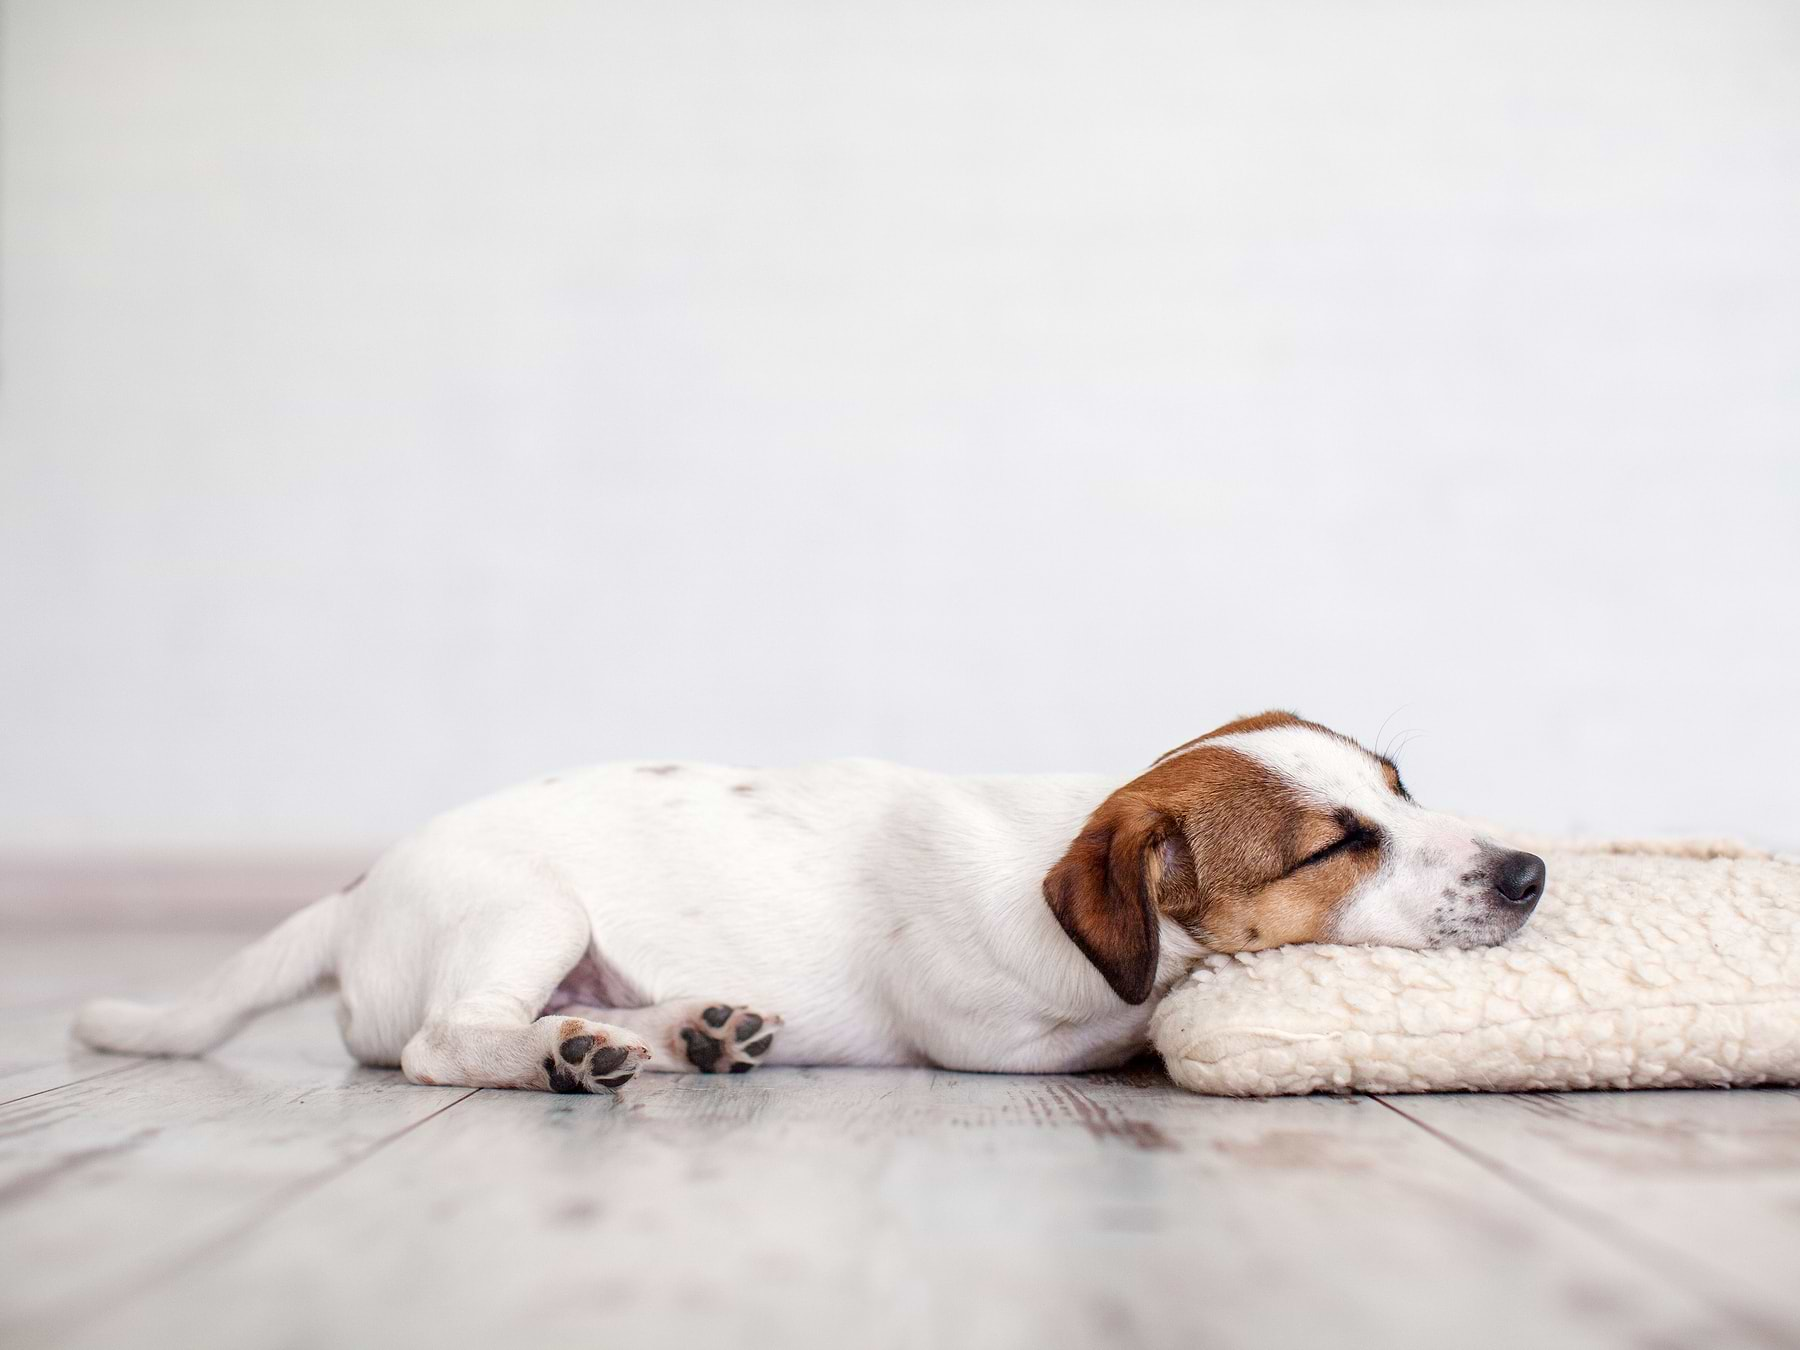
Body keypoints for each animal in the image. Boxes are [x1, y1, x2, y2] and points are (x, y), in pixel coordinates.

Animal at [77, 712, 1548, 1094]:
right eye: (1336, 844)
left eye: (1401, 784)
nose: (1533, 872)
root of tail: (356, 891)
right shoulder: (993, 1038)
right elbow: (1148, 1008)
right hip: (528, 908)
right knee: (449, 1040)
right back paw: (567, 1058)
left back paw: (676, 1035)